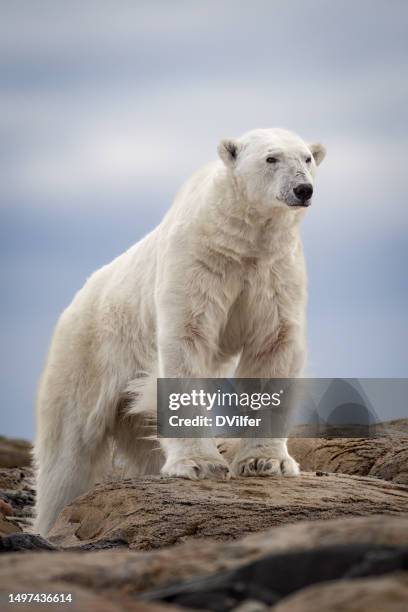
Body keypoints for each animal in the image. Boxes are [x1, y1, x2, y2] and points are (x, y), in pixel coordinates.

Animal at [34, 129, 326, 536]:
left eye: (307, 158)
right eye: (271, 158)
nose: (303, 189)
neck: (242, 238)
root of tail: (74, 304)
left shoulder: (275, 272)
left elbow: (273, 347)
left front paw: (267, 463)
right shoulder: (198, 262)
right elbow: (186, 341)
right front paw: (199, 464)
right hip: (86, 353)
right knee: (67, 455)